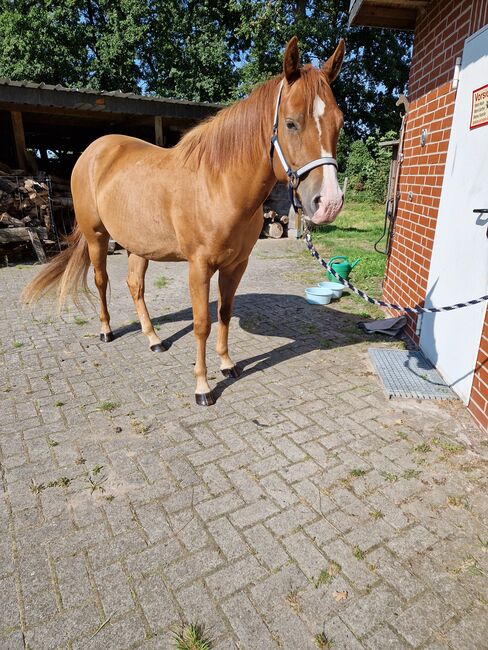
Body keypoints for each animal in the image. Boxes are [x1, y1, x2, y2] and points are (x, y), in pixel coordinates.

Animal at [21, 36, 344, 404]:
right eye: (291, 122)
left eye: (338, 122)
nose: (329, 203)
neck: (219, 183)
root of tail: (94, 151)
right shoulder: (199, 266)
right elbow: (202, 323)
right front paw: (202, 386)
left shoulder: (236, 265)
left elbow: (224, 314)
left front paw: (227, 365)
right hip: (96, 237)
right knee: (102, 282)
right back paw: (106, 331)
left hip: (138, 246)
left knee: (135, 286)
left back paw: (154, 340)